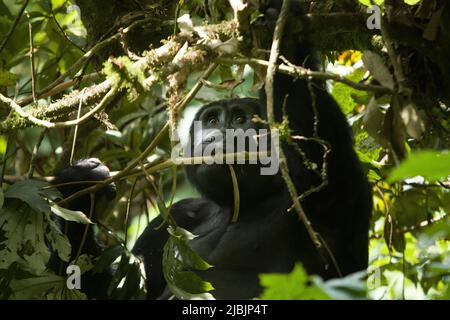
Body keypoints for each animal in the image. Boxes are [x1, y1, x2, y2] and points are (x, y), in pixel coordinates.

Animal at [51, 0, 372, 300]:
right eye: (212, 120)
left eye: (240, 120)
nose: (217, 134)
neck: (239, 205)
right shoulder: (175, 216)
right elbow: (120, 290)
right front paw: (78, 188)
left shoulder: (333, 188)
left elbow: (320, 152)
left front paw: (284, 38)